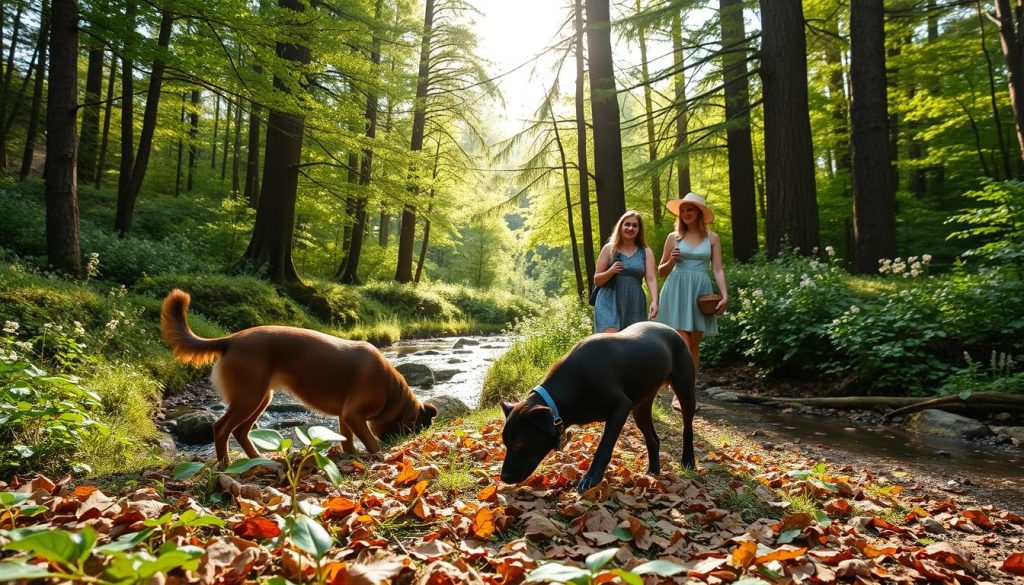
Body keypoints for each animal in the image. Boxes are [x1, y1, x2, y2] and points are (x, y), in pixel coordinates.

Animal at [159, 288, 436, 467]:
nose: (403, 444)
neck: (391, 391)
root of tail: (231, 340)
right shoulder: (354, 415)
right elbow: (370, 442)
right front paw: (379, 456)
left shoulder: (346, 417)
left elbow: (347, 441)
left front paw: (351, 456)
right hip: (249, 398)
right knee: (221, 428)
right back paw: (226, 463)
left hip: (260, 398)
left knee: (240, 431)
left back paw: (257, 458)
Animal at [497, 323, 696, 491]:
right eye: (505, 443)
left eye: (517, 444)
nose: (503, 478)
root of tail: (670, 329)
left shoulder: (621, 408)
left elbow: (604, 447)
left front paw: (591, 477)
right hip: (641, 407)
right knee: (653, 440)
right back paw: (653, 473)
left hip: (685, 390)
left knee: (687, 428)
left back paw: (688, 460)